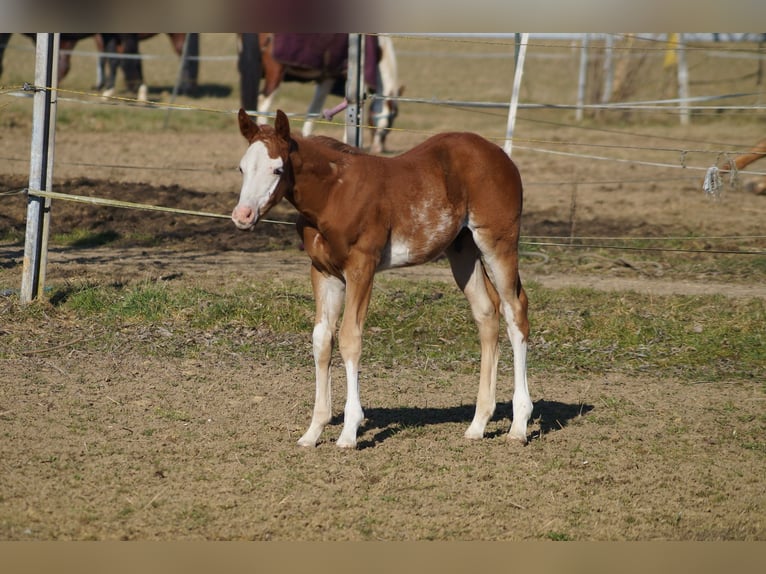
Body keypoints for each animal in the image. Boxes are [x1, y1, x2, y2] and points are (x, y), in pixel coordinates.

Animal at [231, 109, 532, 449]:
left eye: (277, 169)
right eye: (242, 167)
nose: (242, 215)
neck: (333, 194)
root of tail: (501, 155)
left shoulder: (361, 267)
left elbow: (350, 338)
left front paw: (349, 431)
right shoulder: (323, 272)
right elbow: (322, 339)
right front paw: (313, 431)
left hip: (497, 242)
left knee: (515, 311)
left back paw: (519, 426)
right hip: (463, 251)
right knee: (487, 313)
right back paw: (478, 424)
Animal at [242, 33, 401, 154]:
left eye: (388, 127)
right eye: (373, 122)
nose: (377, 149)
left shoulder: (327, 78)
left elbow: (313, 111)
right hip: (276, 72)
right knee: (263, 102)